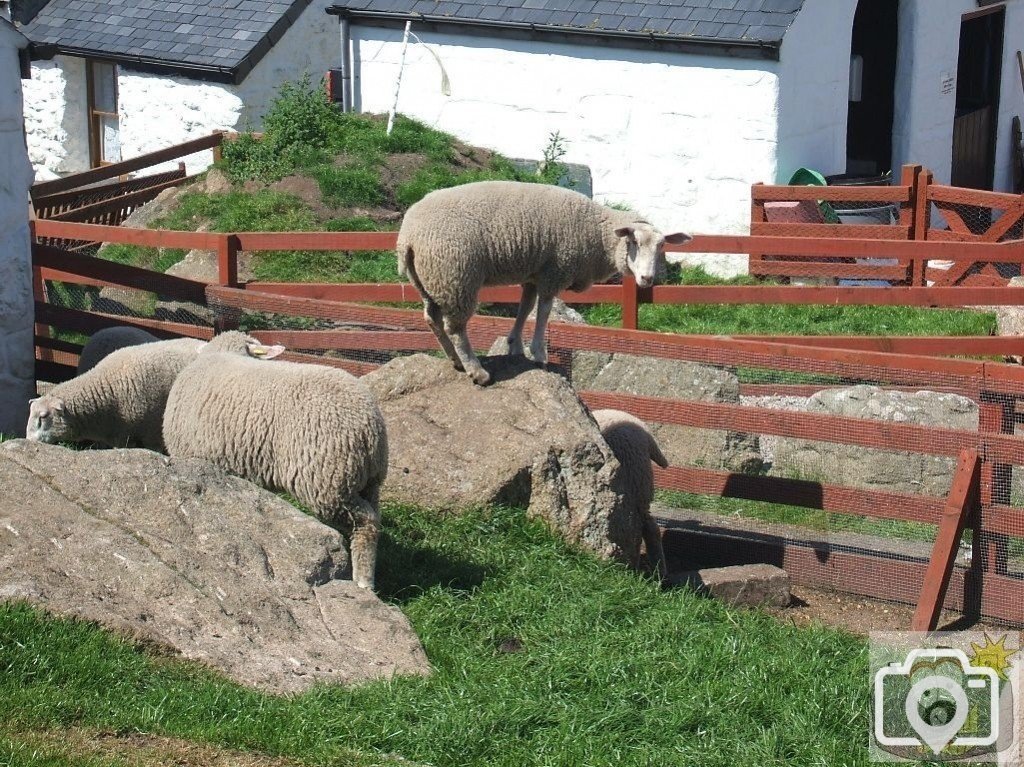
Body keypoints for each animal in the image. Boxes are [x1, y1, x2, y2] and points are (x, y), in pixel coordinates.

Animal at [161, 331, 389, 589]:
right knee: (375, 521)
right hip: (369, 482)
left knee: (366, 524)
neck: (224, 353)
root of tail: (370, 426)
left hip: (330, 482)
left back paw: (362, 582)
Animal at [395, 179, 692, 382]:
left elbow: (525, 308)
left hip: (428, 281)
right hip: (455, 277)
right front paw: (539, 353)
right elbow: (544, 311)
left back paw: (455, 361)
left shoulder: (534, 274)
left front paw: (515, 346)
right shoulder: (554, 272)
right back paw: (475, 369)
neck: (597, 233)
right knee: (455, 326)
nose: (647, 278)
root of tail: (407, 236)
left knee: (432, 319)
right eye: (633, 242)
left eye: (662, 246)